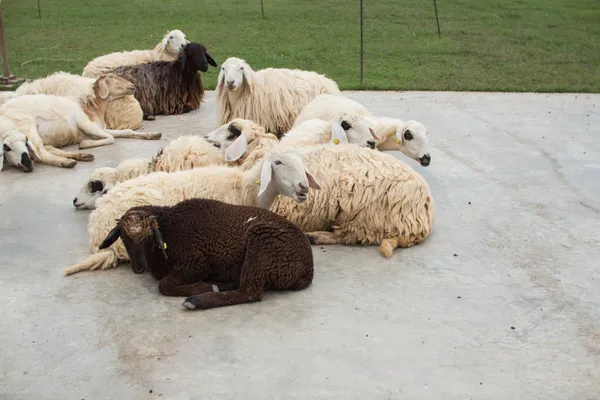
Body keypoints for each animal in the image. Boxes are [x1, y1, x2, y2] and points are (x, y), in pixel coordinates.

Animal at [97, 198, 314, 310]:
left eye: (150, 237)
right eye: (123, 238)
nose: (139, 268)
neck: (171, 228)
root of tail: (308, 269)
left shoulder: (195, 262)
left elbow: (164, 285)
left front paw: (202, 287)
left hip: (263, 246)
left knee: (249, 292)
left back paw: (199, 299)